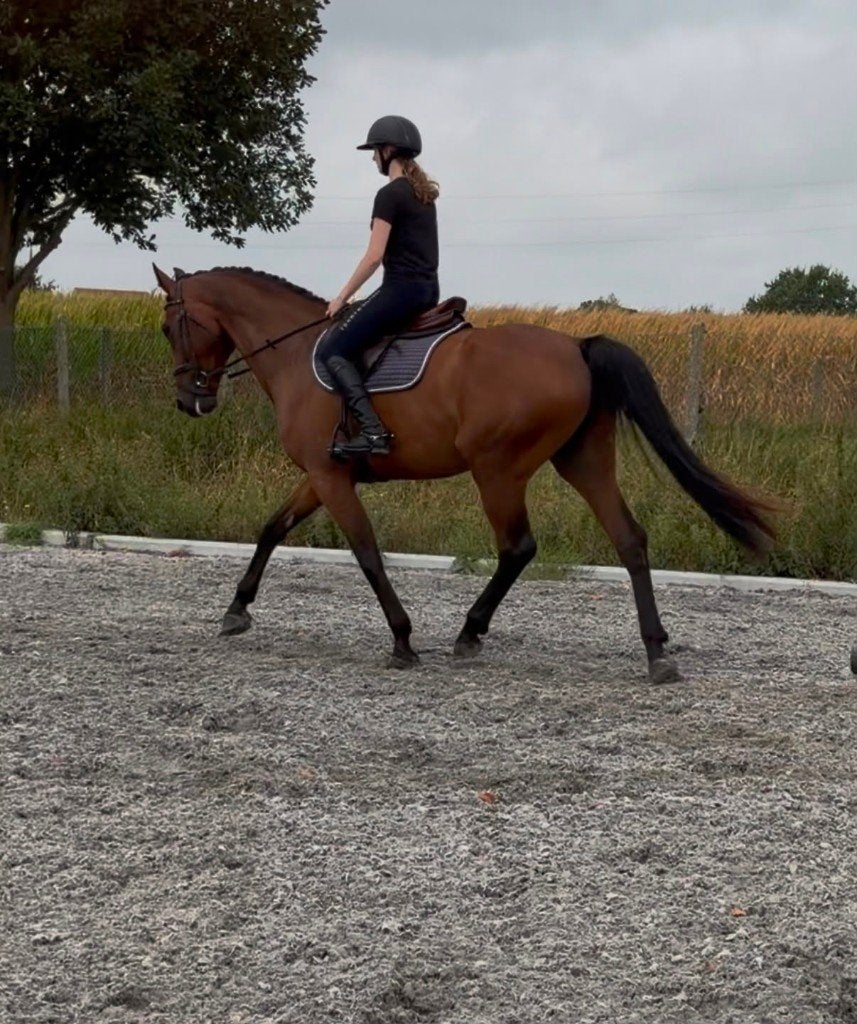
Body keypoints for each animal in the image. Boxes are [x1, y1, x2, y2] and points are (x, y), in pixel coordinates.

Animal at [153, 264, 774, 683]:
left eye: (167, 327)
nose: (188, 401)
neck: (298, 354)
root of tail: (576, 345)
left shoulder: (330, 479)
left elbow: (367, 553)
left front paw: (402, 640)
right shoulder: (321, 476)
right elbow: (272, 529)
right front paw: (236, 610)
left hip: (498, 470)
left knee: (518, 547)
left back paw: (470, 631)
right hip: (583, 461)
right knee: (629, 539)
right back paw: (657, 652)